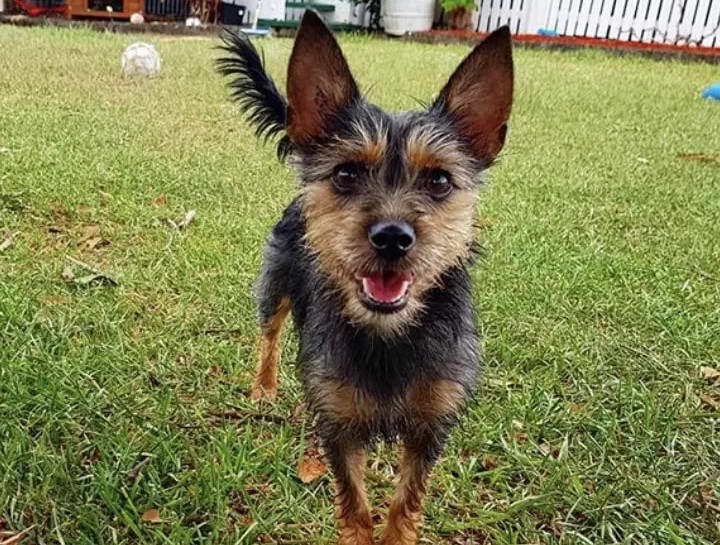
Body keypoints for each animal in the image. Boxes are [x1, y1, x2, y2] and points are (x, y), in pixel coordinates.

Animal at [217, 11, 516, 540]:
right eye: (345, 174)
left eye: (439, 180)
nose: (393, 237)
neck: (388, 335)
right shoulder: (338, 424)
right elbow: (355, 505)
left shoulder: (429, 427)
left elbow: (405, 503)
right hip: (275, 284)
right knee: (269, 333)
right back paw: (264, 388)